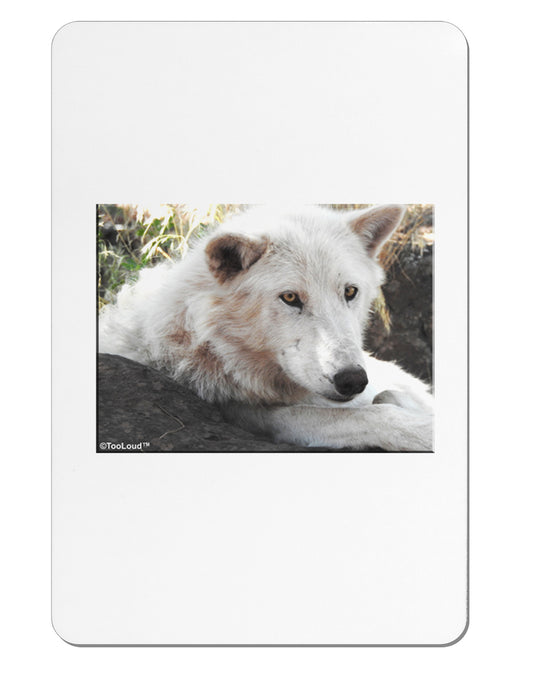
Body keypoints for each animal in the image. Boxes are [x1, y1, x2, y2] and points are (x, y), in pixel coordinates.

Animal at [99, 205, 433, 451]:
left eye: (350, 292)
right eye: (290, 298)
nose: (352, 380)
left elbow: (384, 400)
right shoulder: (246, 411)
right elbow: (369, 413)